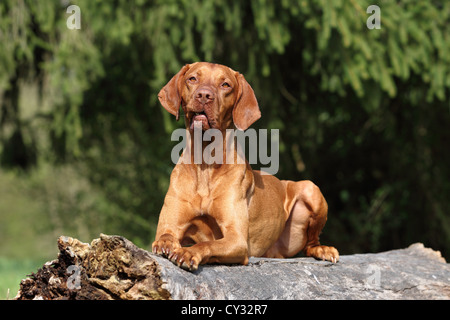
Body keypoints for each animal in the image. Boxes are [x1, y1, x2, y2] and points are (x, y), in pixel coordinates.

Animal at [152, 62, 338, 270]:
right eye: (192, 79)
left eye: (225, 84)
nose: (204, 95)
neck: (205, 163)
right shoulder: (170, 225)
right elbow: (165, 236)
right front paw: (167, 244)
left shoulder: (237, 239)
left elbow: (207, 243)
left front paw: (188, 252)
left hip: (310, 188)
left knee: (310, 244)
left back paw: (323, 250)